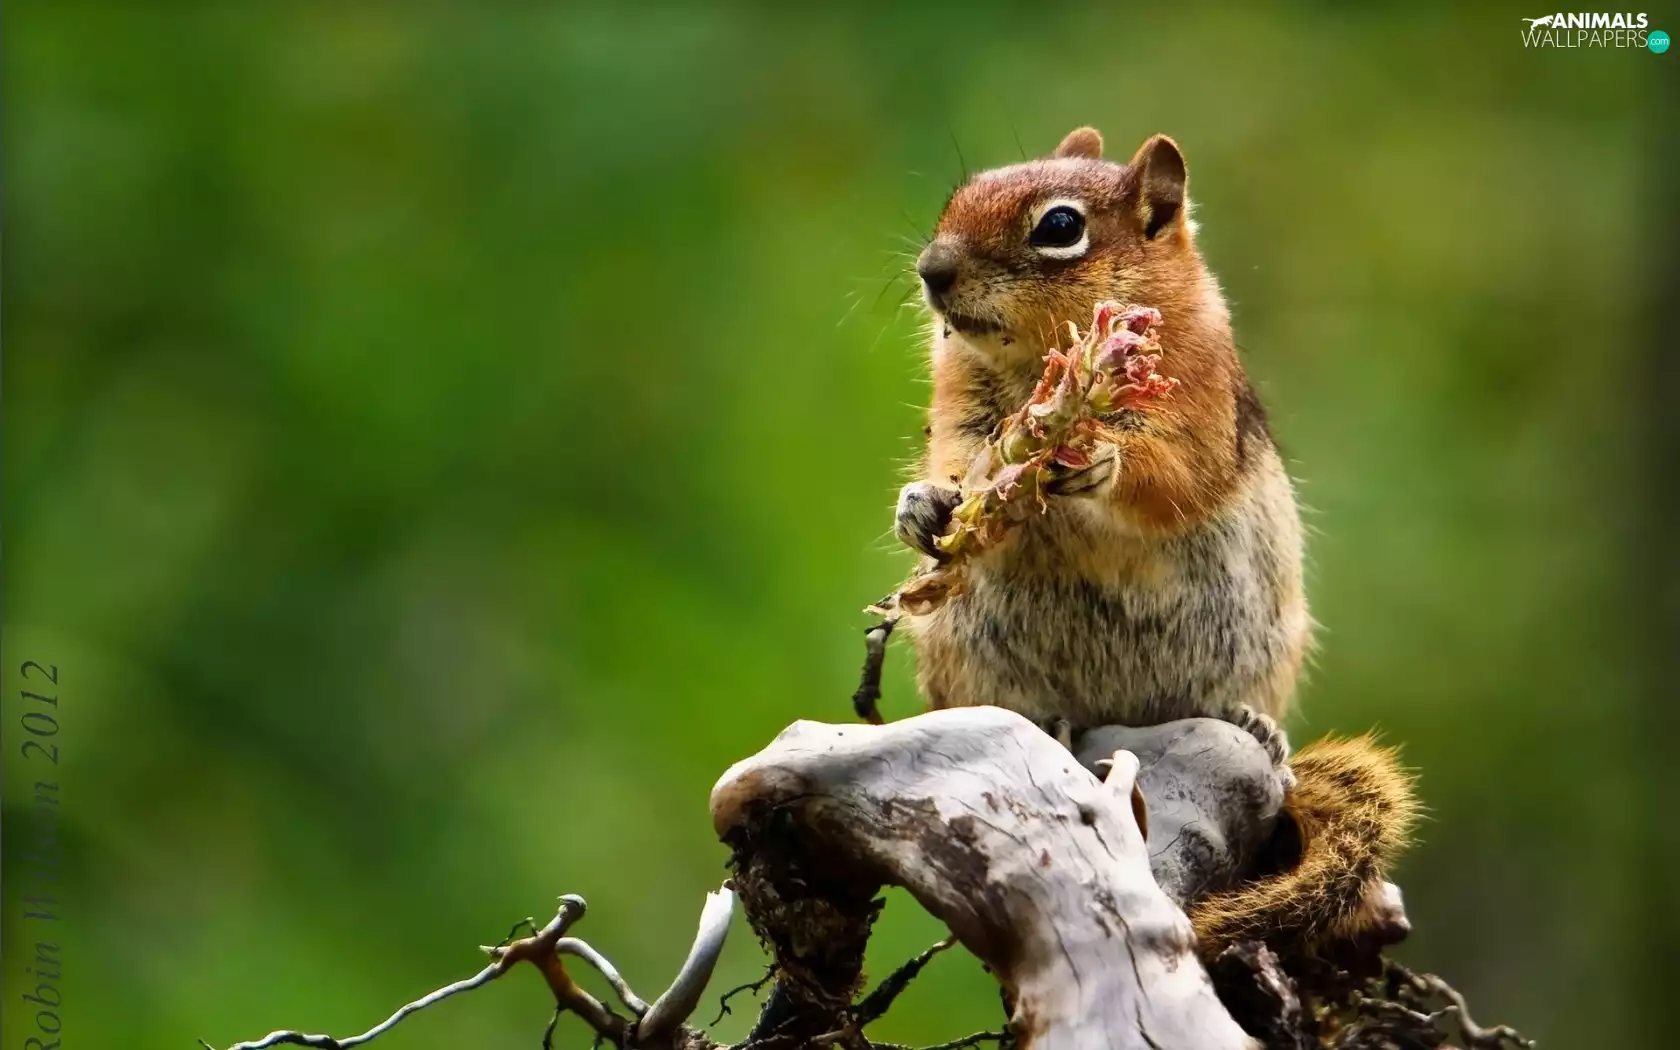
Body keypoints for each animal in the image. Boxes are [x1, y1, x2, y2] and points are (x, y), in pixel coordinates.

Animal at [891, 126, 1417, 959]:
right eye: (960, 196)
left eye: (1060, 226)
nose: (931, 271)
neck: (1039, 367)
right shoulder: (963, 410)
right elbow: (955, 459)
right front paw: (925, 507)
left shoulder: (1197, 401)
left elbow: (1169, 477)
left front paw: (1103, 460)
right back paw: (1051, 720)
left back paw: (1253, 724)